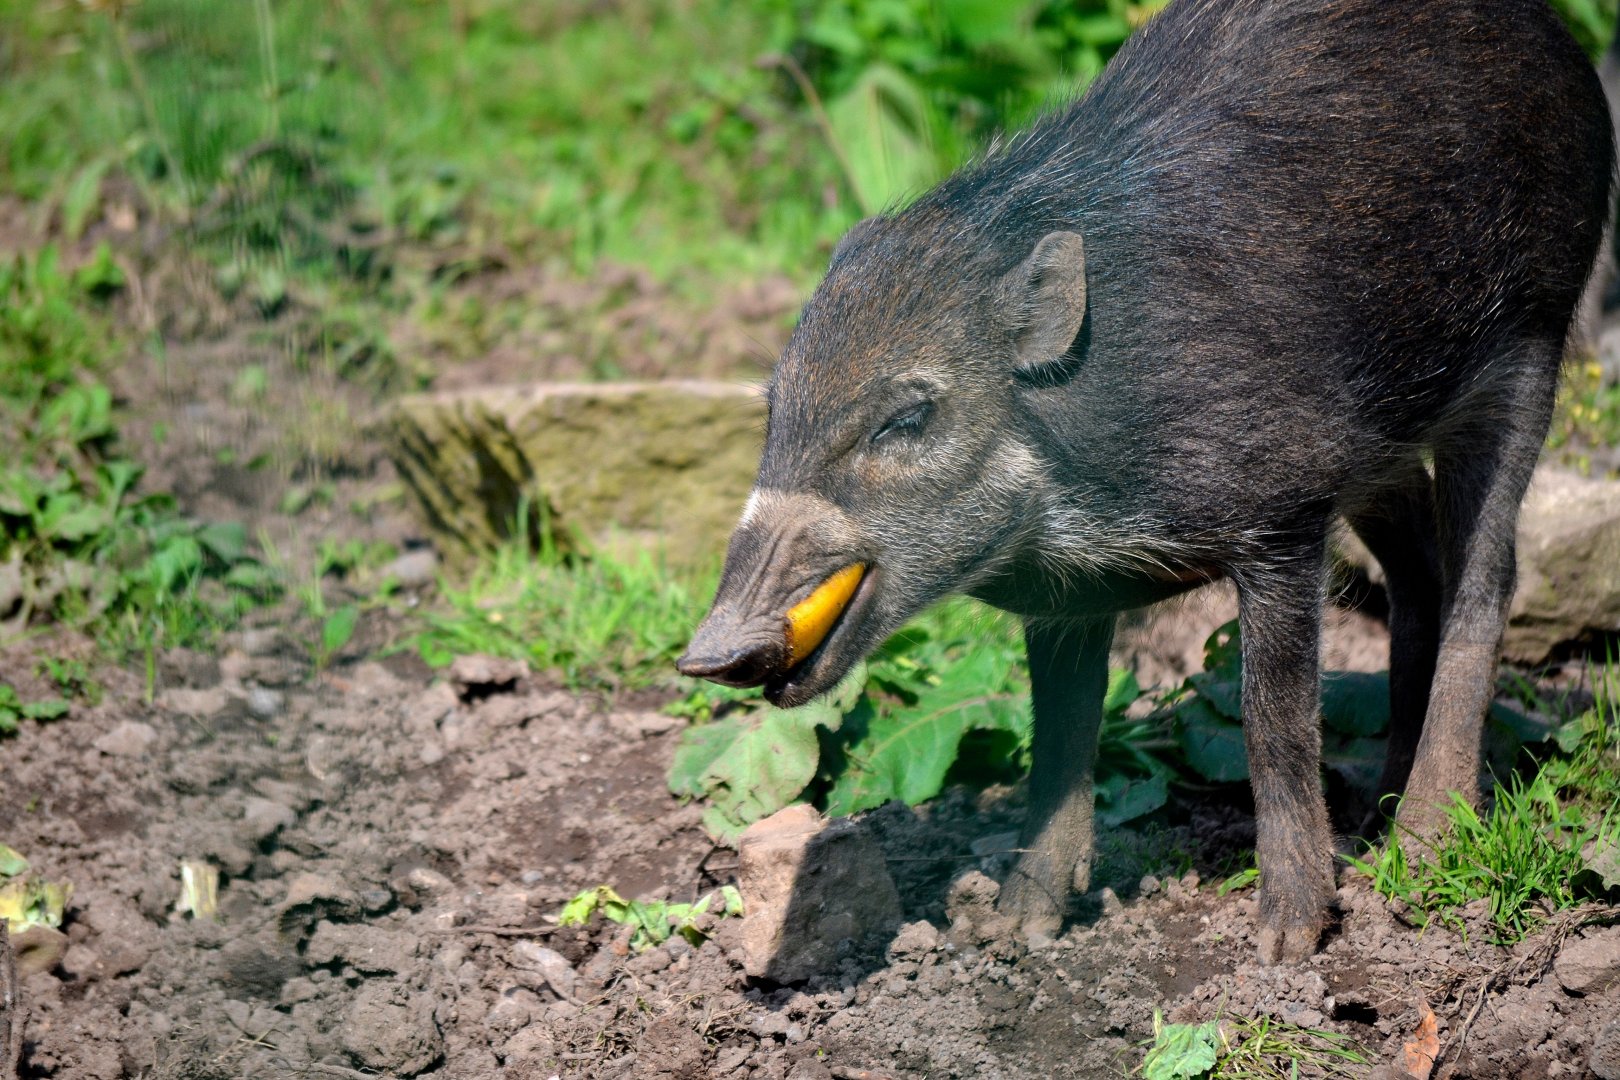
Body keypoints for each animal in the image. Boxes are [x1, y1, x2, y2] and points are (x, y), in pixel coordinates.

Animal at [678, 0, 1615, 963]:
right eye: (774, 411)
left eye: (906, 417)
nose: (705, 654)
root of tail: (1556, 39)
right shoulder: (1070, 598)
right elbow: (1058, 741)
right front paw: (1013, 929)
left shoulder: (1282, 511)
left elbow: (1273, 718)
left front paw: (1286, 944)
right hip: (1382, 450)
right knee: (1419, 571)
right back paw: (1375, 821)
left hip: (1534, 338)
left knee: (1486, 578)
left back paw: (1424, 845)